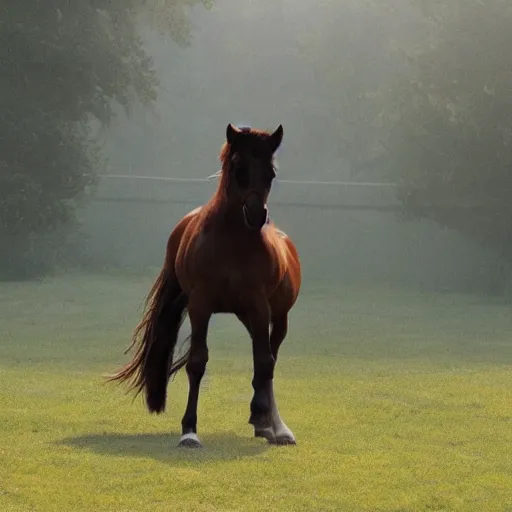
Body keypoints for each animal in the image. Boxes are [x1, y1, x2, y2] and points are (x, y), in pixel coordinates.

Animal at [107, 123, 300, 448]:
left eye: (271, 172)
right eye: (237, 165)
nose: (256, 214)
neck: (233, 241)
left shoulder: (259, 307)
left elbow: (264, 362)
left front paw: (264, 419)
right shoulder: (201, 304)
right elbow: (198, 362)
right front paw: (189, 430)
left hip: (277, 318)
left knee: (269, 360)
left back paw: (273, 425)